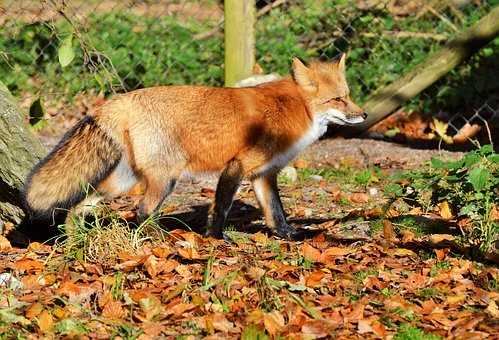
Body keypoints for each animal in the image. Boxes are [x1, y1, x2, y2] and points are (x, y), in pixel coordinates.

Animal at [22, 53, 368, 239]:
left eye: (348, 95)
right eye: (338, 99)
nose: (364, 114)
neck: (294, 108)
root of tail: (119, 100)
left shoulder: (263, 174)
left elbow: (277, 213)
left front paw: (291, 237)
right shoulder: (237, 165)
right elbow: (222, 206)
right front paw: (216, 238)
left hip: (123, 180)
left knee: (83, 204)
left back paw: (74, 237)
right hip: (165, 178)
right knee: (142, 211)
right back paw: (160, 239)